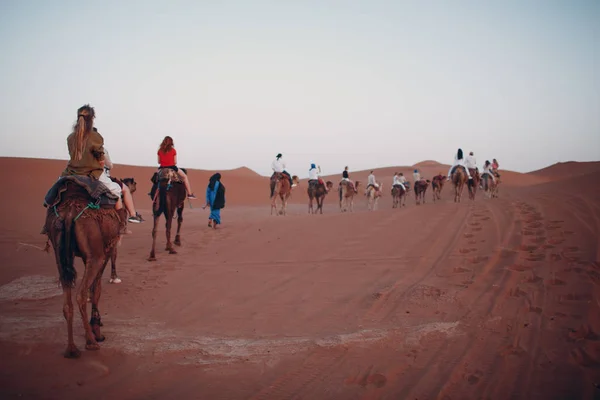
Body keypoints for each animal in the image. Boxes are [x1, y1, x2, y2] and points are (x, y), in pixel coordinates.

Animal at [43, 183, 126, 358]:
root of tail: (69, 213)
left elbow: (94, 287)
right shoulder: (106, 250)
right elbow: (96, 289)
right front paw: (97, 329)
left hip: (59, 252)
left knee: (67, 298)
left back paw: (71, 349)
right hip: (95, 252)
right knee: (80, 295)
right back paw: (91, 342)